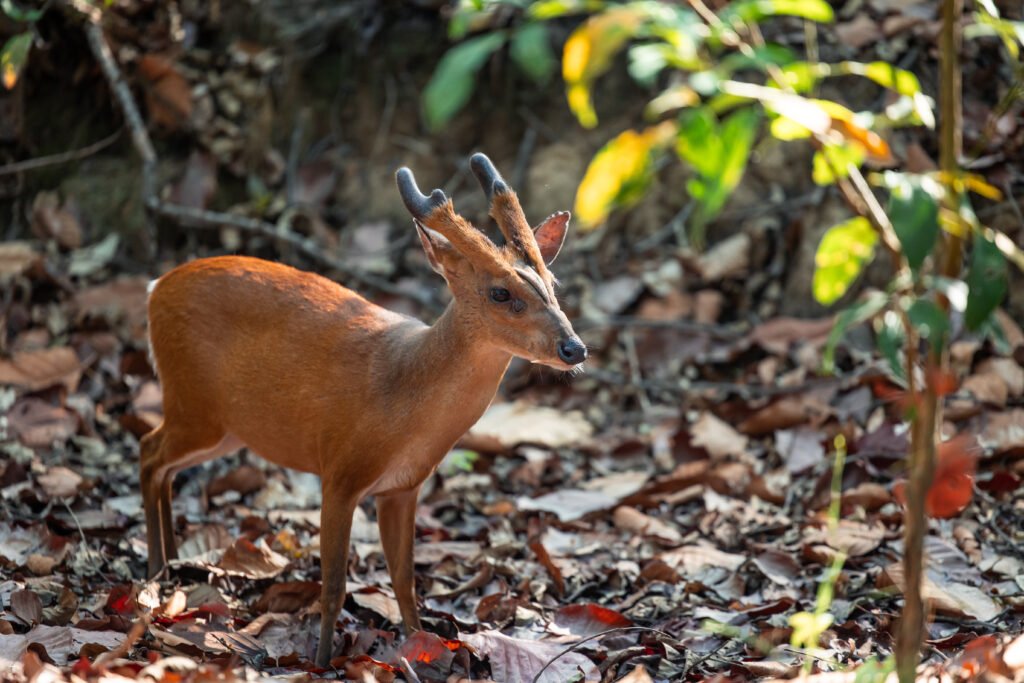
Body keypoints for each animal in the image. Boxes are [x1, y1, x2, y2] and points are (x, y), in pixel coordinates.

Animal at [139, 153, 587, 666]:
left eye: (552, 283)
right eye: (500, 293)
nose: (574, 348)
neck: (403, 398)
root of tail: (154, 290)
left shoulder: (403, 488)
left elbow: (405, 581)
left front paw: (419, 644)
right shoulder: (339, 470)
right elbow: (334, 585)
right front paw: (320, 663)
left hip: (224, 425)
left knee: (164, 464)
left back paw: (171, 563)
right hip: (193, 402)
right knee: (148, 451)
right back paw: (155, 571)